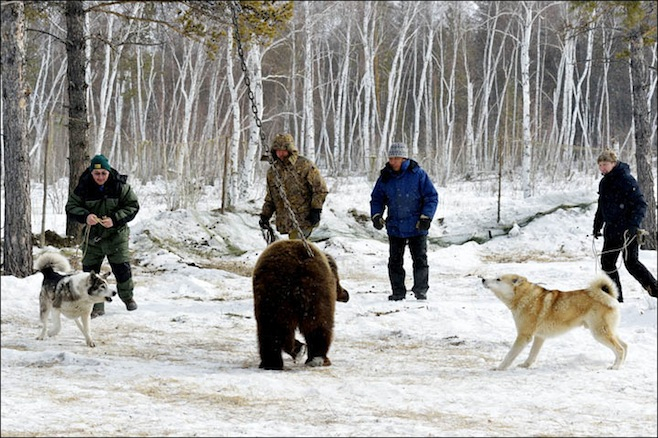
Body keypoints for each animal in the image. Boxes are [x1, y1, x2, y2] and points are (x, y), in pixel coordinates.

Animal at [250, 240, 348, 370]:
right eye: (338, 280)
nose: (346, 294)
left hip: (272, 297)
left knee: (271, 329)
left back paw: (273, 362)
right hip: (314, 291)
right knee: (318, 325)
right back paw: (317, 358)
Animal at [482, 274, 624, 370]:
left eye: (498, 279)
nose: (482, 279)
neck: (525, 297)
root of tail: (609, 297)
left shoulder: (524, 336)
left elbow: (510, 355)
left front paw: (499, 368)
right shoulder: (539, 337)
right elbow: (532, 354)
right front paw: (525, 365)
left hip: (599, 333)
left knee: (620, 349)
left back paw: (615, 367)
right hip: (607, 331)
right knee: (625, 346)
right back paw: (619, 364)